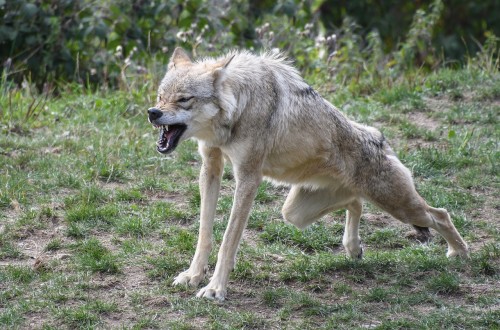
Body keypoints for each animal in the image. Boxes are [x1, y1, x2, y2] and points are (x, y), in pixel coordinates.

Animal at [146, 47, 468, 300]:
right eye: (160, 96)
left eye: (184, 99)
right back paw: (353, 248)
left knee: (440, 214)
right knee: (356, 203)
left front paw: (215, 289)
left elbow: (227, 240)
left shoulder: (248, 177)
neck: (239, 106)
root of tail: (379, 137)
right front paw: (193, 275)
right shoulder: (210, 167)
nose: (153, 113)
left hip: (400, 207)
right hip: (295, 213)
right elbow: (205, 233)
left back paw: (460, 254)